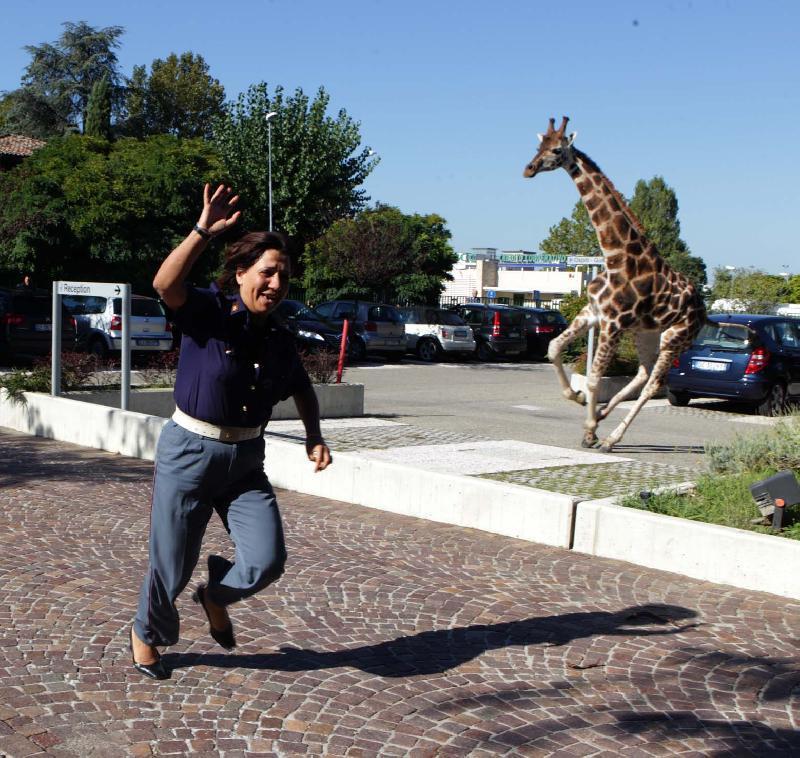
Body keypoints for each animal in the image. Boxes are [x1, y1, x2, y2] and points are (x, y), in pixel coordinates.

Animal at [524, 117, 708, 452]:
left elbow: (594, 377)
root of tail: (705, 311)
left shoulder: (612, 323)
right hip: (646, 333)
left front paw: (588, 432)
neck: (614, 256)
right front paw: (577, 399)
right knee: (643, 372)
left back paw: (609, 438)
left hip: (674, 338)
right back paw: (602, 416)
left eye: (556, 150)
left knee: (653, 384)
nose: (529, 169)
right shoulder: (592, 313)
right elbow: (554, 348)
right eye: (538, 145)